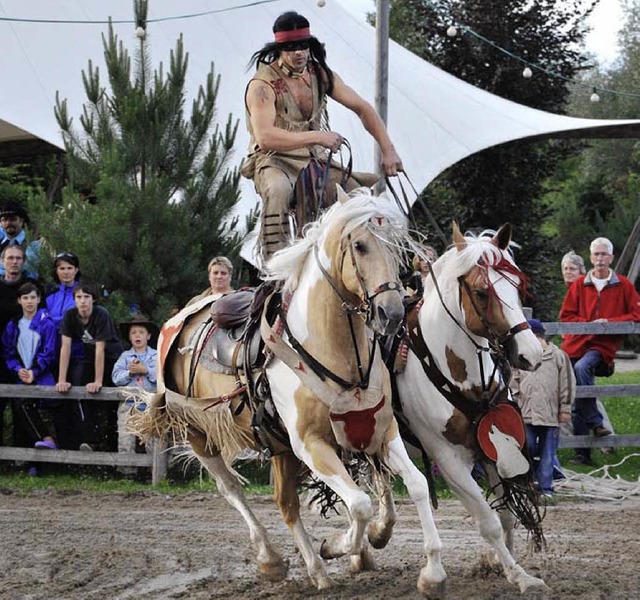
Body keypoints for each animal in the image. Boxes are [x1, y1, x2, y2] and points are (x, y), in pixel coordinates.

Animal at [132, 190, 448, 592]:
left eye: (397, 250)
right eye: (359, 245)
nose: (390, 314)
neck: (330, 349)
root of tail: (180, 317)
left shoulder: (380, 430)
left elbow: (416, 484)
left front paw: (430, 571)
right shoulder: (310, 444)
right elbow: (358, 503)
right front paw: (338, 545)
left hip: (278, 446)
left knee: (286, 504)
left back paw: (316, 571)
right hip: (200, 436)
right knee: (232, 490)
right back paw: (273, 560)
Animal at [392, 224, 548, 596]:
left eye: (517, 285)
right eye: (481, 292)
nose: (531, 355)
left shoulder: (491, 448)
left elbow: (505, 514)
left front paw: (507, 567)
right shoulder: (447, 458)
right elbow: (488, 521)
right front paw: (516, 574)